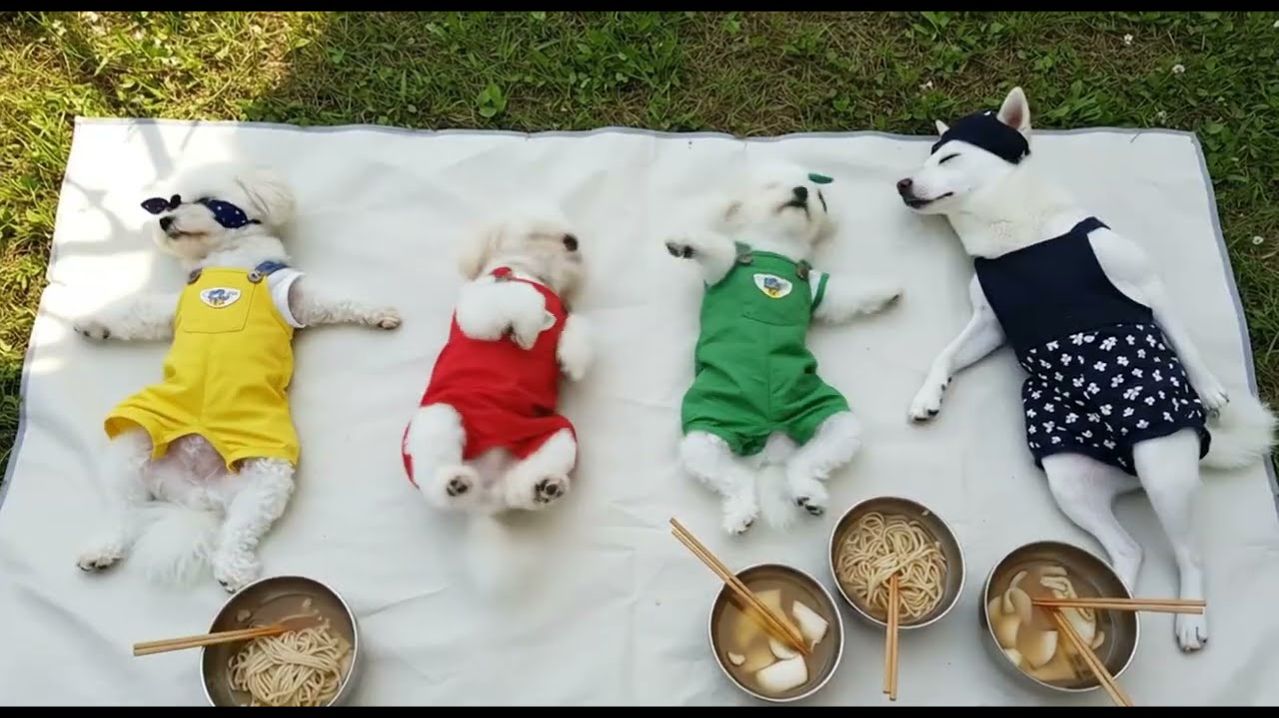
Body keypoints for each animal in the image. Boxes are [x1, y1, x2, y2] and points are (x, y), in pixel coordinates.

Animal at [73, 164, 402, 592]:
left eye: (210, 203)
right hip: (134, 442)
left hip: (267, 475)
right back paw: (102, 549)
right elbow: (135, 312)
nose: (165, 220)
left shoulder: (296, 295)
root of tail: (197, 493)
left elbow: (339, 300)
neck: (225, 263)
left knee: (237, 531)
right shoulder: (170, 309)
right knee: (123, 512)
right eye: (167, 204)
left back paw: (233, 569)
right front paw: (91, 323)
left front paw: (379, 312)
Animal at [401, 207, 592, 517]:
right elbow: (523, 303)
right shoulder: (483, 306)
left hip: (556, 432)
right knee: (435, 477)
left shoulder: (566, 316)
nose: (572, 241)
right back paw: (454, 483)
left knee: (520, 486)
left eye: (570, 235)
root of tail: (487, 491)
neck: (530, 274)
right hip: (440, 415)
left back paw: (543, 487)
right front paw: (528, 329)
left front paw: (571, 361)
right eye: (536, 233)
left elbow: (577, 328)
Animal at [665, 163, 902, 534]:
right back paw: (741, 513)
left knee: (803, 464)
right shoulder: (723, 268)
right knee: (735, 480)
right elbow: (720, 247)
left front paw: (886, 289)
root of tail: (770, 439)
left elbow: (850, 293)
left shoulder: (820, 288)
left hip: (827, 412)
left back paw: (808, 495)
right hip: (707, 427)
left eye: (818, 195)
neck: (776, 249)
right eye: (773, 185)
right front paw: (685, 242)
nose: (801, 192)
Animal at [897, 87, 1276, 651]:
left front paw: (1209, 389)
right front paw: (930, 393)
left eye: (947, 158)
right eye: (924, 160)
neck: (1019, 237)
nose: (902, 183)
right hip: (1070, 480)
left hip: (1163, 469)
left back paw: (1189, 617)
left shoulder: (1146, 283)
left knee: (1189, 553)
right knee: (1130, 550)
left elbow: (1184, 339)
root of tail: (1130, 469)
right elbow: (946, 353)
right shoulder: (989, 324)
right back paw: (1098, 605)